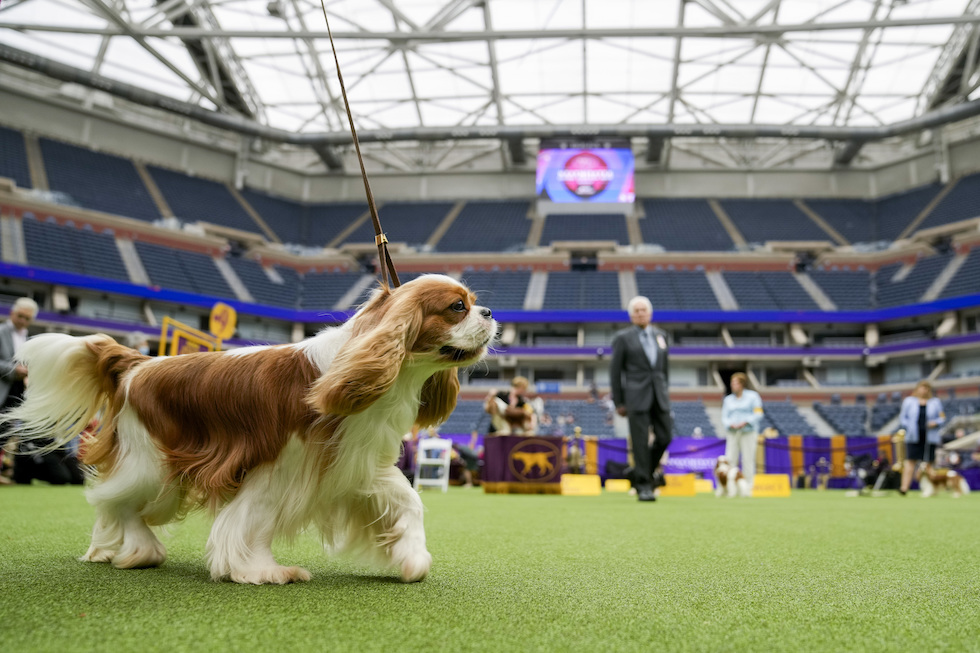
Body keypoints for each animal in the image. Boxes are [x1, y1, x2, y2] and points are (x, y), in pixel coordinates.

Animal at [1, 276, 498, 584]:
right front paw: (261, 571)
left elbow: (408, 502)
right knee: (117, 501)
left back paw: (109, 550)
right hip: (153, 463)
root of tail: (140, 362)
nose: (491, 311)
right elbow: (251, 520)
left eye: (472, 302)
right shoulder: (278, 468)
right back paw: (141, 550)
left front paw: (411, 557)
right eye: (457, 307)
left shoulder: (355, 466)